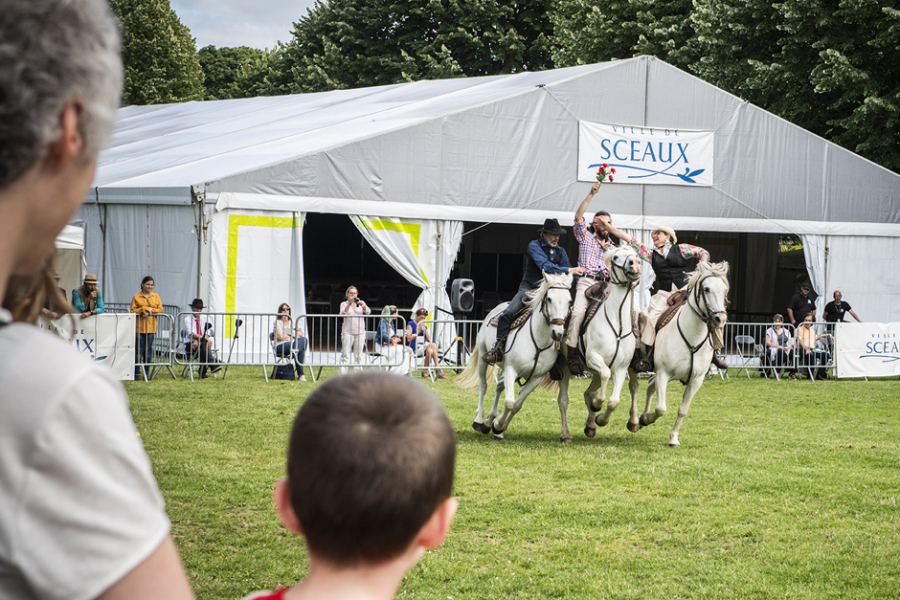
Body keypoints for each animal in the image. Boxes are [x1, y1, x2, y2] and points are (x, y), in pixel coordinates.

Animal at [460, 272, 572, 440]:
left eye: (569, 301)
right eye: (549, 299)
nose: (557, 333)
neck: (538, 341)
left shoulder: (535, 378)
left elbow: (516, 404)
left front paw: (498, 427)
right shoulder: (511, 370)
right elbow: (509, 402)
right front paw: (498, 425)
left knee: (499, 387)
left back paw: (488, 421)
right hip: (483, 357)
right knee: (483, 386)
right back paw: (479, 420)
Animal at [556, 245, 640, 440]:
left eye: (635, 254)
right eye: (616, 257)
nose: (634, 264)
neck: (617, 323)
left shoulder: (621, 367)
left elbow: (614, 400)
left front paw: (600, 419)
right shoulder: (593, 357)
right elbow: (603, 382)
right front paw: (597, 406)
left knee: (631, 386)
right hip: (565, 365)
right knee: (563, 401)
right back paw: (566, 434)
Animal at [636, 260, 728, 448]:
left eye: (724, 290)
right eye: (706, 289)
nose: (720, 319)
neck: (692, 337)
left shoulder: (696, 380)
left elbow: (683, 410)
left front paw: (673, 438)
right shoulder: (663, 374)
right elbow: (661, 408)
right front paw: (647, 419)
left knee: (650, 385)